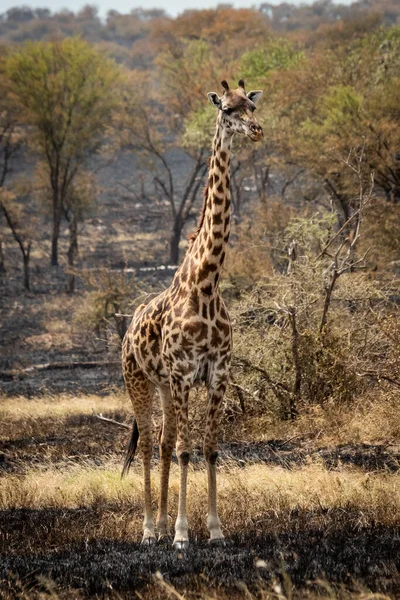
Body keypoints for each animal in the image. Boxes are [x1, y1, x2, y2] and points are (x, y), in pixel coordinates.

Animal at [121, 78, 262, 548]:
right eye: (226, 110)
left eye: (252, 105)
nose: (256, 130)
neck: (207, 281)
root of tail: (127, 328)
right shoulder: (184, 373)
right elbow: (186, 450)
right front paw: (184, 535)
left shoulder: (217, 374)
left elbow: (209, 449)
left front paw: (215, 530)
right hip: (139, 380)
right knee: (150, 444)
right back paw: (150, 529)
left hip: (164, 386)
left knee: (164, 444)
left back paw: (162, 524)